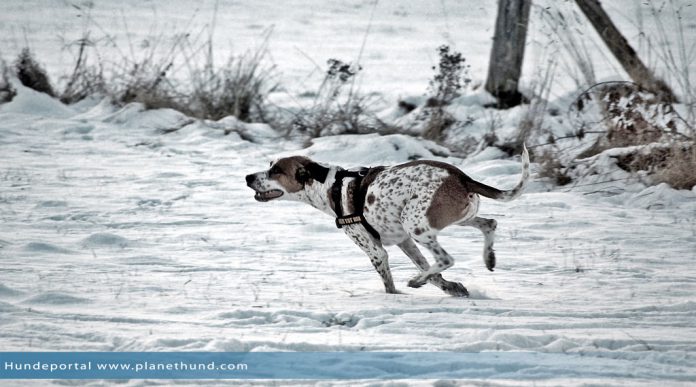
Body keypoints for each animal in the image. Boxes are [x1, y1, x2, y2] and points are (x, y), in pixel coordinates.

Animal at [245, 147, 528, 298]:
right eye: (269, 164)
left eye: (276, 171)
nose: (248, 177)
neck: (330, 186)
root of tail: (462, 177)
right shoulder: (404, 242)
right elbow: (433, 273)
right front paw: (451, 287)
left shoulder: (376, 251)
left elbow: (390, 284)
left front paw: (397, 297)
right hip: (453, 220)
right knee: (489, 224)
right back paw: (488, 258)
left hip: (417, 225)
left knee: (446, 258)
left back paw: (416, 281)